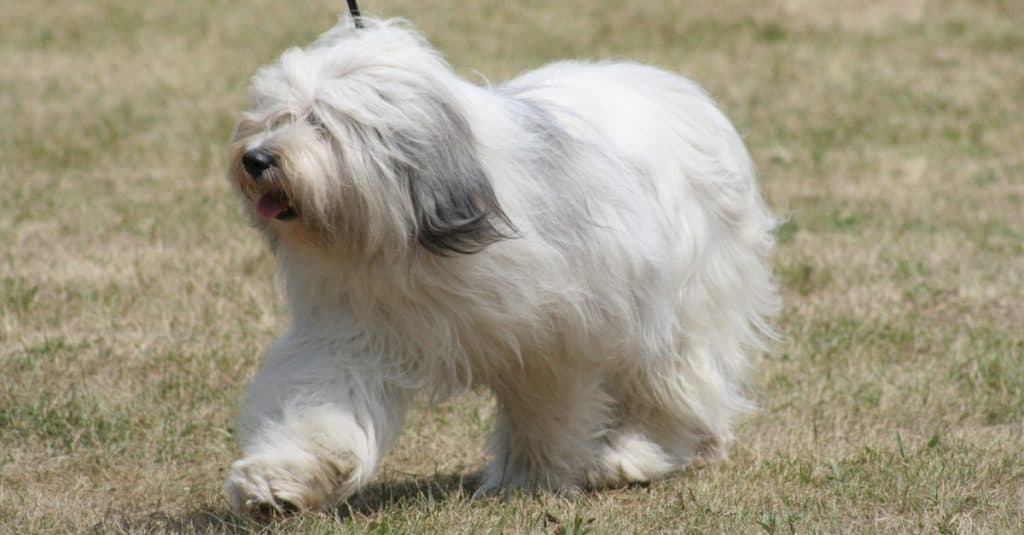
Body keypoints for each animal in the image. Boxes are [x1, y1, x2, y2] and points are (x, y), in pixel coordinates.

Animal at [224, 16, 778, 514]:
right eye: (271, 118)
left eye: (320, 122)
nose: (255, 159)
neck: (415, 236)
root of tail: (680, 92)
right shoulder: (354, 332)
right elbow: (322, 404)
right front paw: (277, 481)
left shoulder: (550, 337)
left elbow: (545, 407)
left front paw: (534, 477)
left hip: (676, 301)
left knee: (668, 384)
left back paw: (633, 454)